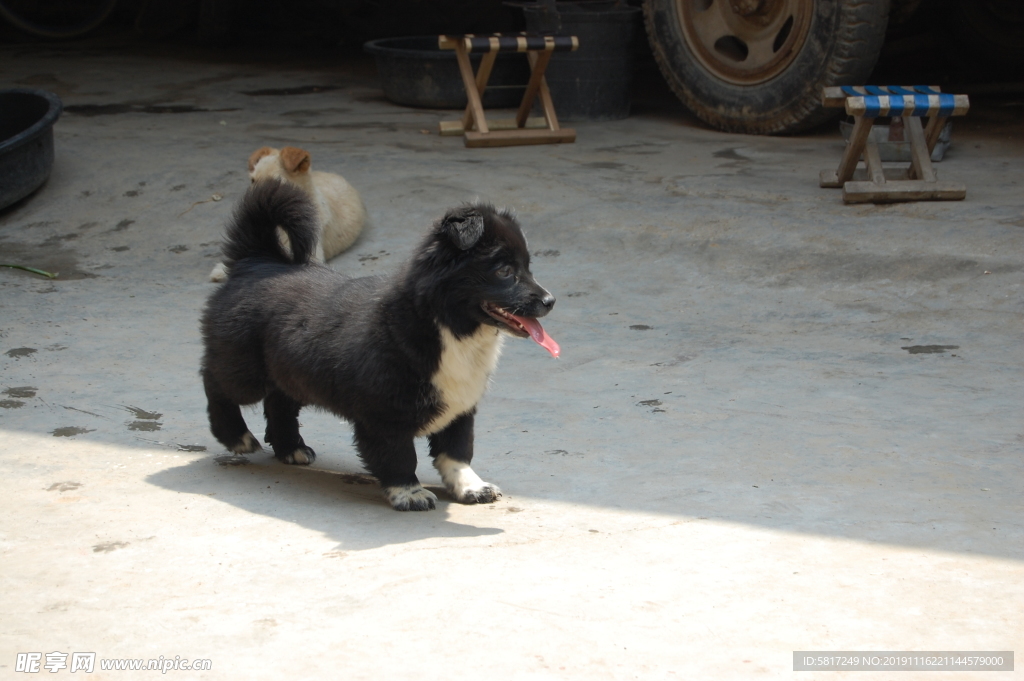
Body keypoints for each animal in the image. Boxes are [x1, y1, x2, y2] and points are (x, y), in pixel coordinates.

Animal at [199, 180, 561, 509]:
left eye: (528, 267)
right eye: (504, 271)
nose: (550, 301)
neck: (445, 325)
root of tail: (256, 261)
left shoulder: (460, 407)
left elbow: (457, 451)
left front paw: (470, 486)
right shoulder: (383, 416)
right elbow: (398, 456)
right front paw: (409, 493)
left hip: (288, 371)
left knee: (280, 401)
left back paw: (291, 448)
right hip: (243, 368)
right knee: (214, 382)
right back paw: (236, 437)